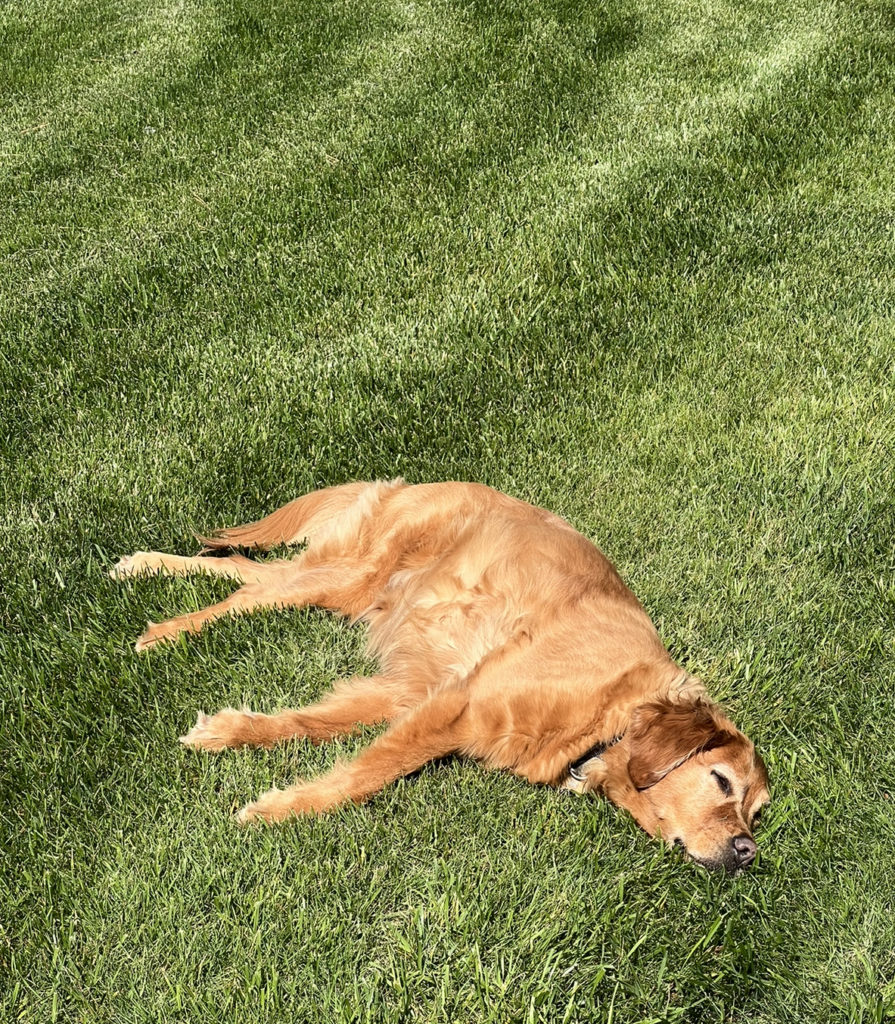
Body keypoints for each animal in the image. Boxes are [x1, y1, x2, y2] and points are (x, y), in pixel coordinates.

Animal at [112, 480, 769, 871]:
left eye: (758, 812)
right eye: (721, 782)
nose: (748, 851)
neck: (610, 715)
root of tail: (414, 481)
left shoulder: (411, 691)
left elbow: (307, 724)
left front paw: (227, 731)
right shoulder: (456, 707)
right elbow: (367, 775)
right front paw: (277, 811)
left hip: (349, 585)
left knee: (248, 571)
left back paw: (140, 566)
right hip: (351, 575)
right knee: (251, 591)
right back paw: (165, 629)